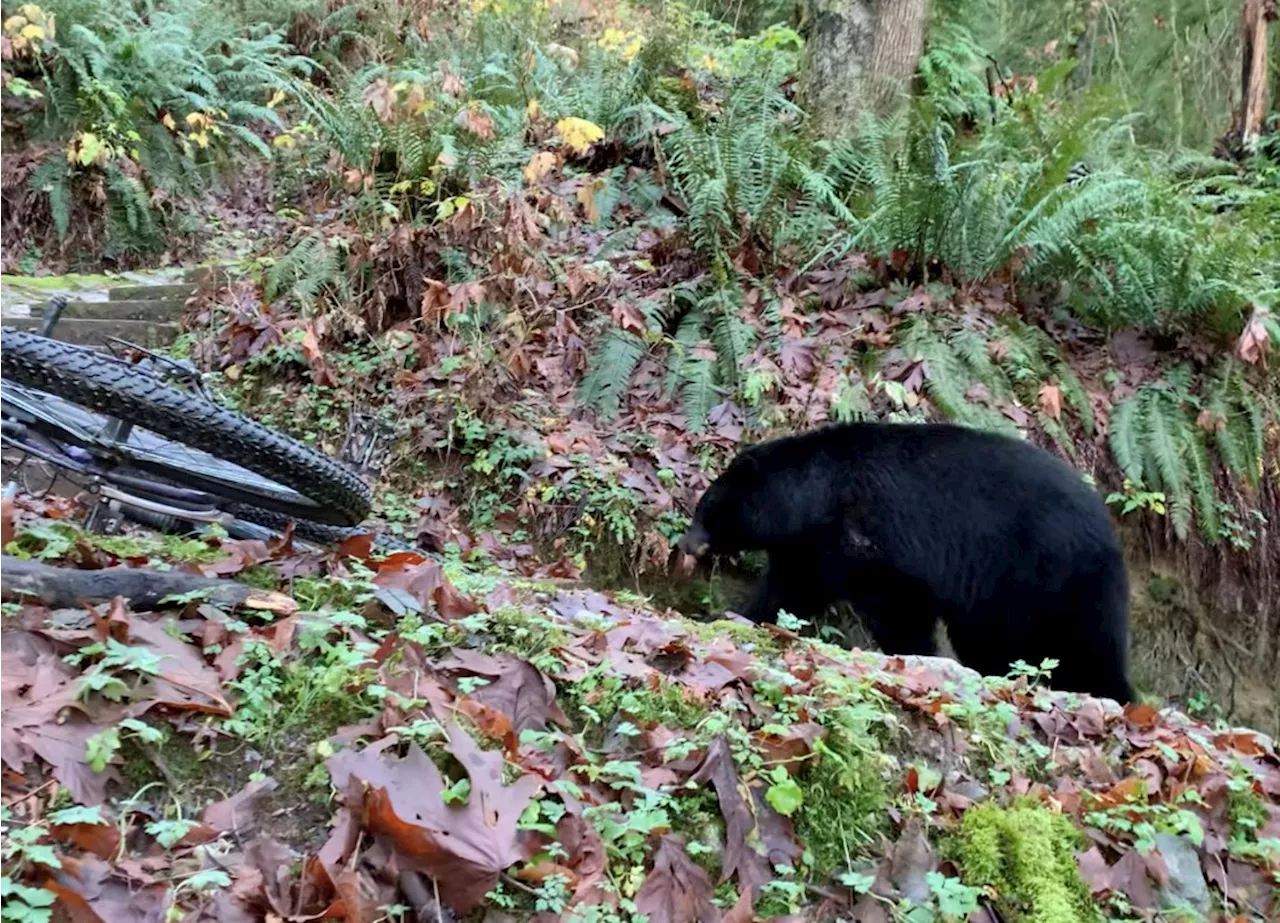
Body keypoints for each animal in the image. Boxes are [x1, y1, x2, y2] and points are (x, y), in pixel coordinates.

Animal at [675, 422, 1136, 701]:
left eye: (707, 506)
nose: (685, 544)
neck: (819, 497)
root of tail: (1109, 529)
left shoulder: (876, 539)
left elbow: (897, 608)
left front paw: (916, 656)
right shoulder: (813, 546)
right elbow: (789, 589)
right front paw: (734, 615)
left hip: (1052, 573)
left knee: (1087, 645)